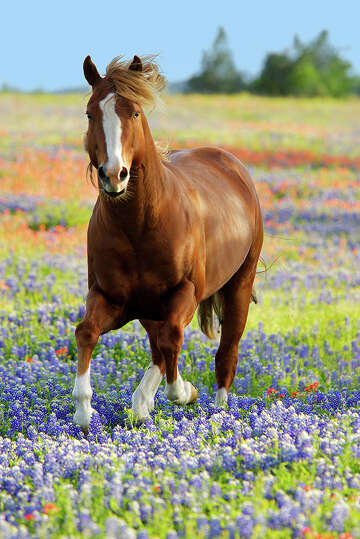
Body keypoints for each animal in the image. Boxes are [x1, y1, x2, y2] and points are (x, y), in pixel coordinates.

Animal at [72, 54, 264, 430]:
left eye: (134, 113)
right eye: (90, 114)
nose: (113, 174)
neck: (139, 226)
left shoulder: (185, 292)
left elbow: (173, 338)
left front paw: (185, 392)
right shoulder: (110, 297)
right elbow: (86, 331)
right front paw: (84, 410)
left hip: (239, 285)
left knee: (225, 353)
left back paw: (217, 412)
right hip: (149, 308)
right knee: (158, 350)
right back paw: (141, 404)